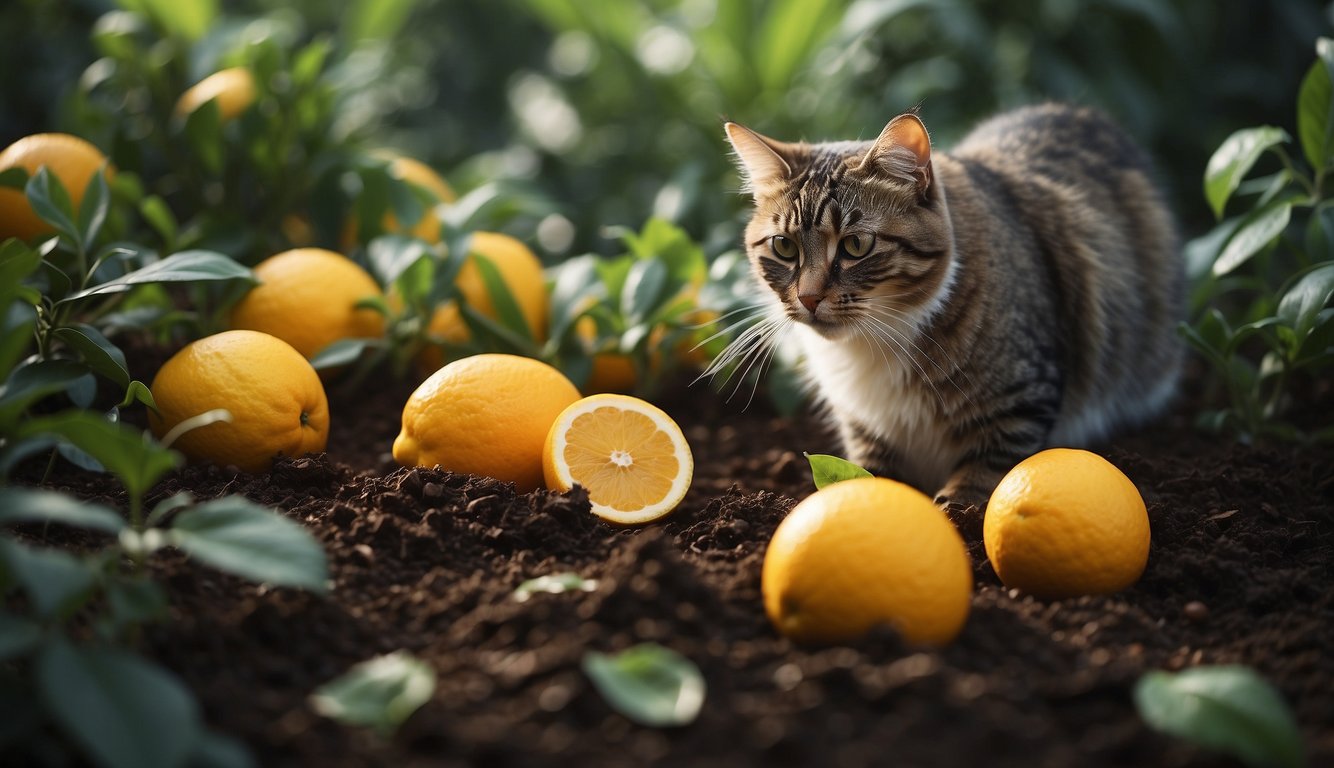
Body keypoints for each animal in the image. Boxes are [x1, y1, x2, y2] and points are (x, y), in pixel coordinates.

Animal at [725, 103, 1184, 509]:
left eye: (856, 245)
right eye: (784, 247)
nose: (809, 297)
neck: (877, 340)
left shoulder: (1020, 401)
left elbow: (987, 468)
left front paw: (957, 507)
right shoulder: (865, 426)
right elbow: (871, 477)